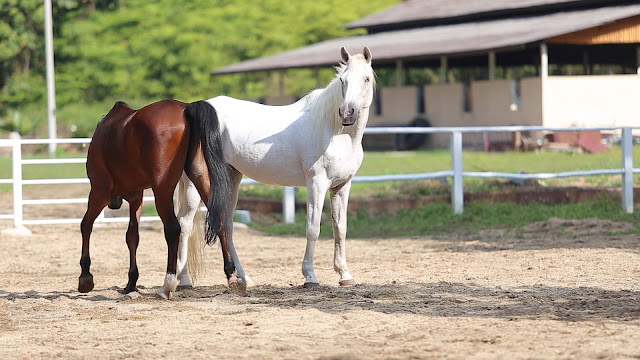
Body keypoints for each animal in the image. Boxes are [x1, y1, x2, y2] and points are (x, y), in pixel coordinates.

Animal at [77, 98, 242, 298]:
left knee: (172, 228)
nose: (114, 205)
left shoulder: (99, 192)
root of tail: (186, 108)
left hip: (162, 190)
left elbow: (86, 225)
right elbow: (132, 236)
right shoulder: (136, 197)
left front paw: (85, 277)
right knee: (221, 222)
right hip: (201, 178)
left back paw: (168, 284)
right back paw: (232, 276)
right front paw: (131, 283)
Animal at [175, 45, 376, 286]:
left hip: (231, 178)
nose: (347, 113)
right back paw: (184, 281)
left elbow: (340, 228)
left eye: (366, 79)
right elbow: (313, 228)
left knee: (226, 223)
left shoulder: (342, 186)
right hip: (194, 184)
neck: (333, 130)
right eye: (342, 80)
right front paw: (310, 276)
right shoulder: (316, 183)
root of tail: (194, 109)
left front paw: (345, 274)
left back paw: (244, 278)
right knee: (185, 223)